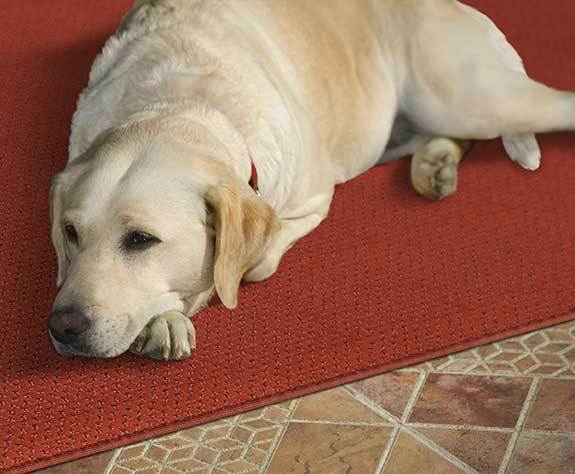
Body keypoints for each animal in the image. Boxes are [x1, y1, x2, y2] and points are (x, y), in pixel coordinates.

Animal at [49, 0, 575, 358]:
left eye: (141, 239)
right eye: (70, 233)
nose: (62, 326)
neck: (176, 104)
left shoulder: (311, 200)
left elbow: (255, 265)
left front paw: (179, 308)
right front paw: (164, 320)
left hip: (467, 98)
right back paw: (434, 164)